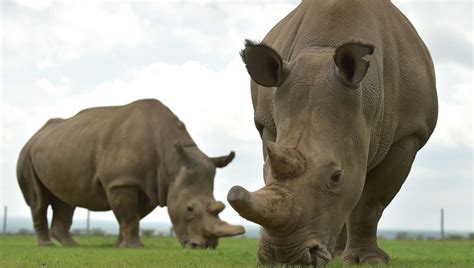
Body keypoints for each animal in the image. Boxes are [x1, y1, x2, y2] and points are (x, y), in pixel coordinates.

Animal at [17, 99, 244, 249]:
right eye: (189, 209)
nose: (206, 246)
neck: (172, 162)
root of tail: (36, 135)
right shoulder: (122, 182)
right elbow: (127, 215)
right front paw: (133, 247)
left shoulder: (153, 184)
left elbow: (132, 215)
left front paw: (120, 245)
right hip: (26, 154)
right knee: (38, 202)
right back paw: (46, 245)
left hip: (60, 147)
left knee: (66, 201)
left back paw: (71, 245)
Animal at [228, 0, 438, 266]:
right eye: (264, 171)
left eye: (336, 177)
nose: (282, 256)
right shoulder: (268, 124)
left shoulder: (409, 133)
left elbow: (370, 202)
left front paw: (369, 261)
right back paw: (337, 254)